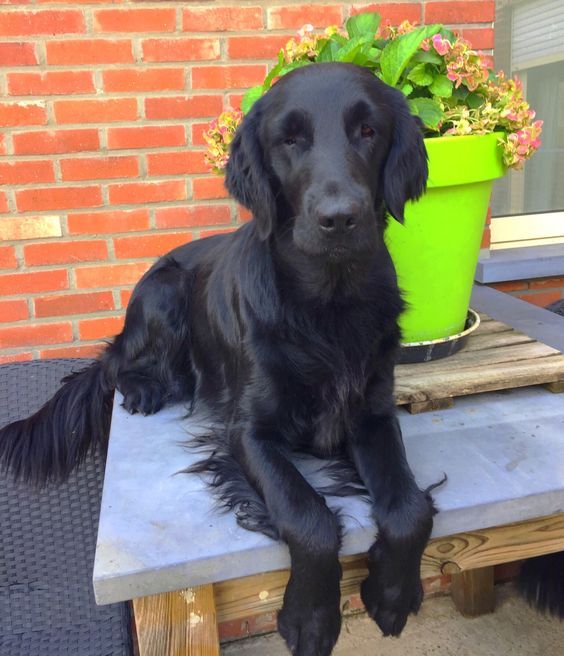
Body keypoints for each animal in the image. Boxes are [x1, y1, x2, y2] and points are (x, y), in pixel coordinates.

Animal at [1, 62, 436, 656]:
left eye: (369, 131)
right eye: (289, 139)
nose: (340, 219)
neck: (327, 303)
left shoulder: (372, 413)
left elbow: (410, 508)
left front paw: (393, 596)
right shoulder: (248, 432)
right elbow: (309, 517)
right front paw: (310, 620)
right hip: (163, 294)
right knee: (115, 363)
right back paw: (143, 389)